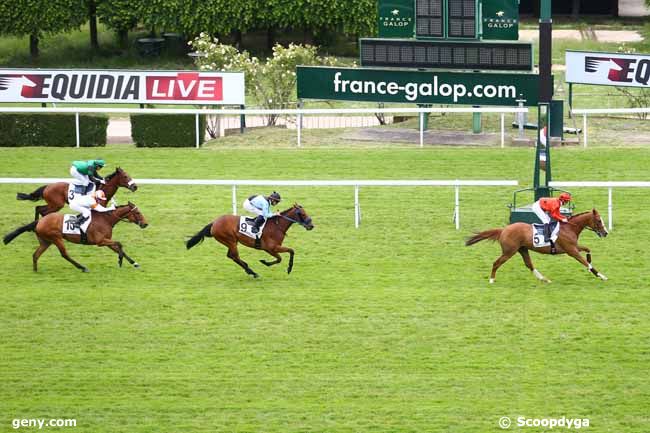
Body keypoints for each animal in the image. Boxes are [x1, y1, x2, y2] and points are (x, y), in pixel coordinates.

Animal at [2, 202, 147, 270]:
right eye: (138, 213)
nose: (145, 224)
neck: (106, 219)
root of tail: (39, 221)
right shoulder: (100, 241)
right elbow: (119, 244)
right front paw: (120, 260)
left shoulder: (106, 240)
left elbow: (118, 247)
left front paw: (134, 263)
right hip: (56, 238)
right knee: (64, 254)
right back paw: (82, 267)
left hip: (46, 241)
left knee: (35, 255)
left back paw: (36, 271)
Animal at [185, 202, 314, 276]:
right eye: (302, 214)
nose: (311, 225)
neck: (276, 226)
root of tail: (214, 223)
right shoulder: (270, 248)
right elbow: (283, 256)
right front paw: (270, 264)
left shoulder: (272, 248)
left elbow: (287, 254)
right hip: (230, 240)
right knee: (234, 256)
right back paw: (252, 272)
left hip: (231, 242)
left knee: (231, 256)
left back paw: (248, 268)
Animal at [466, 209, 608, 284]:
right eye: (599, 220)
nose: (605, 233)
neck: (569, 228)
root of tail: (504, 230)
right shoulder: (571, 250)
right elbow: (585, 262)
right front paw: (600, 275)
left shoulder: (573, 247)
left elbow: (588, 250)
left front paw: (591, 264)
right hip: (509, 251)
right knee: (496, 263)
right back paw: (491, 280)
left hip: (522, 249)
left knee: (529, 264)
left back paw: (544, 279)